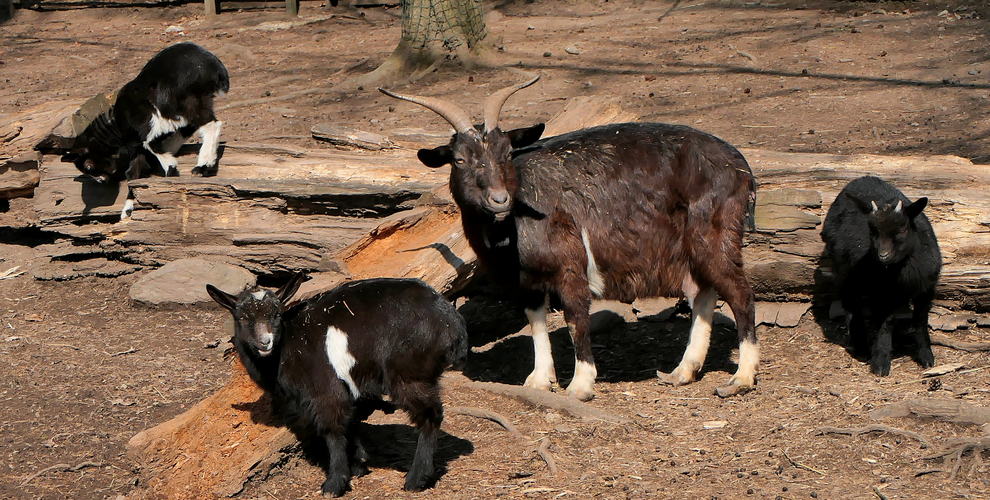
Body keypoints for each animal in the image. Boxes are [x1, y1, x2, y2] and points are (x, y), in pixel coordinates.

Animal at [63, 44, 230, 218]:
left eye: (88, 166)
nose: (101, 180)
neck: (117, 125)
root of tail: (214, 66)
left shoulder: (147, 125)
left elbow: (151, 146)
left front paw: (171, 172)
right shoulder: (138, 146)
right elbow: (133, 173)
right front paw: (127, 211)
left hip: (186, 100)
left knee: (211, 124)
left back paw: (202, 166)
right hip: (199, 100)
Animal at [206, 276, 468, 498]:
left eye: (277, 314)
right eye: (242, 317)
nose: (265, 342)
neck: (288, 346)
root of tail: (453, 324)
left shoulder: (325, 390)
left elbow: (332, 430)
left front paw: (334, 483)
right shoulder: (346, 388)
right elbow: (351, 422)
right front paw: (359, 465)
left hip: (409, 374)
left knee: (430, 415)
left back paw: (416, 479)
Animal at [380, 76, 760, 400]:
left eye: (506, 154)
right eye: (459, 159)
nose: (499, 199)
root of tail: (741, 165)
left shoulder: (571, 267)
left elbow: (576, 318)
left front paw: (580, 385)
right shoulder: (526, 281)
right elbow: (536, 321)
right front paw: (539, 379)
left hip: (715, 234)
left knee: (739, 293)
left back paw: (740, 378)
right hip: (694, 248)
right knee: (704, 292)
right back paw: (683, 371)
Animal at [820, 176, 944, 376]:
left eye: (902, 229)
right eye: (872, 231)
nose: (882, 256)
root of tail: (861, 178)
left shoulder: (926, 289)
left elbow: (920, 320)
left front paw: (926, 357)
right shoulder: (881, 293)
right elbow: (885, 325)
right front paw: (881, 363)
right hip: (845, 274)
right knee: (851, 307)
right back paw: (860, 346)